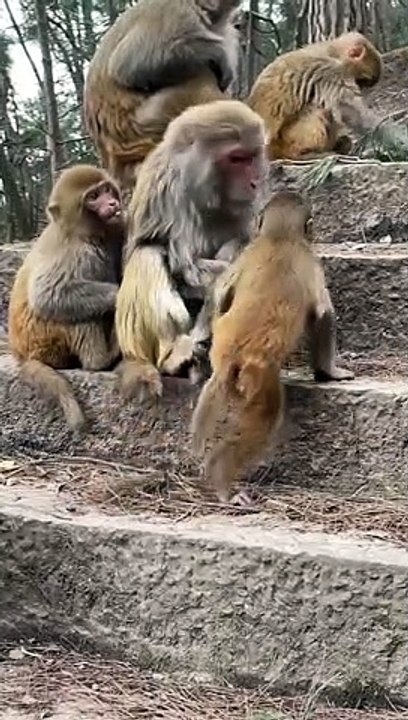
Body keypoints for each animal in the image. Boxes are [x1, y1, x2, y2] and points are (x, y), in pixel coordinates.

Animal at [8, 165, 124, 431]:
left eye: (106, 190)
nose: (112, 203)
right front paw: (121, 294)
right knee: (75, 310)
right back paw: (100, 359)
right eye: (93, 197)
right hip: (44, 338)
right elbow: (48, 295)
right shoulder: (76, 251)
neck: (81, 232)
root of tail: (22, 353)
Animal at [115, 99, 267, 403]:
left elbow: (244, 246)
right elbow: (168, 258)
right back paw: (172, 357)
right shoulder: (160, 185)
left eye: (252, 156)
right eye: (237, 159)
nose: (255, 182)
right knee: (148, 253)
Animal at [190, 190, 354, 503]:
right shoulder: (312, 263)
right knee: (265, 417)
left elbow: (220, 293)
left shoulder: (245, 254)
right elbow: (323, 315)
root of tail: (236, 354)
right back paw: (223, 482)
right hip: (259, 377)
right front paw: (330, 372)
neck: (279, 236)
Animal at [247, 32, 383, 160]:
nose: (361, 89)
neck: (331, 51)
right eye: (361, 81)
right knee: (318, 108)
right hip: (283, 141)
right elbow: (348, 110)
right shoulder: (329, 71)